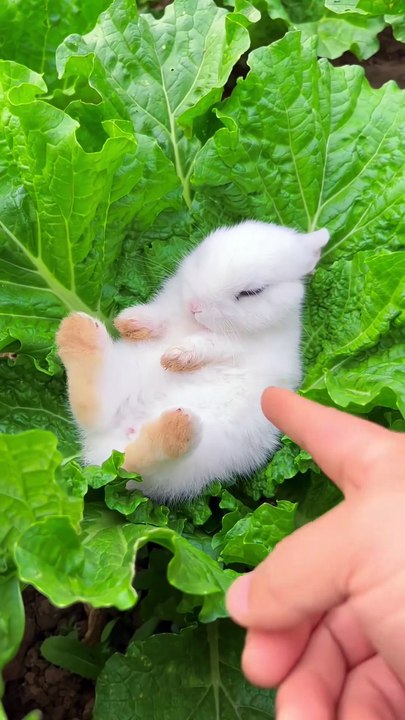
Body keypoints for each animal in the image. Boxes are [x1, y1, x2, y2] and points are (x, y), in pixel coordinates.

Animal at [56, 221, 329, 502]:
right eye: (201, 257)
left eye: (251, 292)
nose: (194, 306)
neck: (195, 323)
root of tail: (103, 451)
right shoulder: (169, 310)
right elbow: (160, 318)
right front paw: (128, 322)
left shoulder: (241, 345)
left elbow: (210, 345)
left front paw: (175, 357)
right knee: (95, 409)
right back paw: (77, 333)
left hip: (191, 458)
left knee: (136, 462)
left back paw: (177, 427)